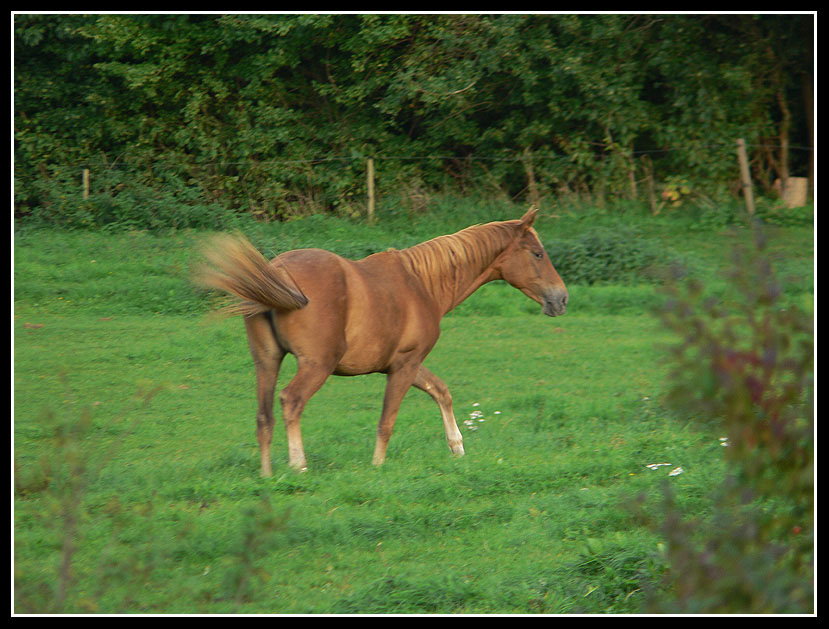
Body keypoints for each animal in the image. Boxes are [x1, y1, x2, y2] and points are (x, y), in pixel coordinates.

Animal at [197, 207, 568, 476]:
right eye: (538, 254)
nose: (561, 299)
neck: (422, 283)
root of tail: (277, 271)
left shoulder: (404, 364)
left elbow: (441, 391)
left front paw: (457, 447)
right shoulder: (405, 364)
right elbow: (387, 420)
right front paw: (378, 466)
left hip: (267, 361)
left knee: (264, 418)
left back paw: (267, 475)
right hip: (316, 365)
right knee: (291, 401)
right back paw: (298, 466)